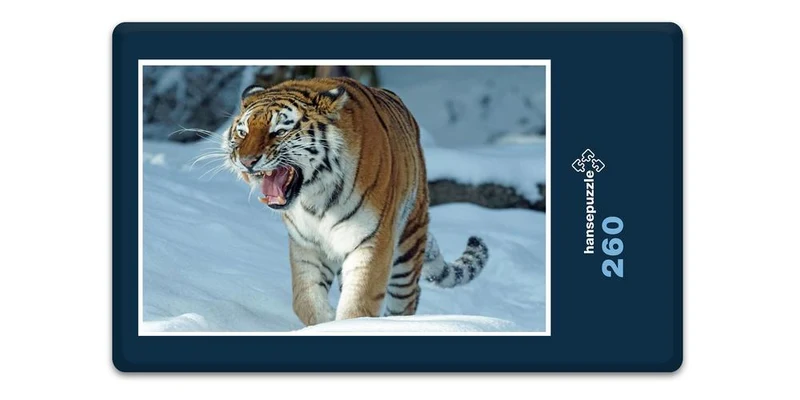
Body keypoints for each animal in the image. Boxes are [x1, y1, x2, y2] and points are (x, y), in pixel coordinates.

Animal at [222, 76, 489, 326]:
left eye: (279, 131)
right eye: (243, 132)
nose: (246, 161)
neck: (314, 198)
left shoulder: (372, 241)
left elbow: (359, 304)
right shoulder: (306, 245)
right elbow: (305, 300)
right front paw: (326, 321)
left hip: (408, 245)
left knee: (408, 297)